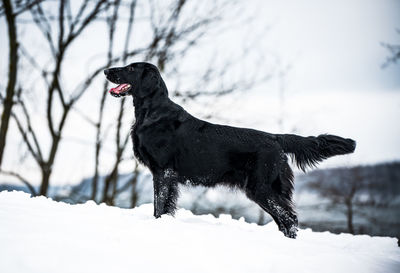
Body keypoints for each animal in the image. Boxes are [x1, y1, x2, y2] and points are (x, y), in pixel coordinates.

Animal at [104, 62, 356, 237]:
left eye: (131, 68)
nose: (106, 70)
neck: (151, 113)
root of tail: (275, 138)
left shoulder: (163, 171)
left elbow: (159, 206)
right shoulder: (166, 174)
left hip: (262, 187)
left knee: (289, 219)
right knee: (285, 220)